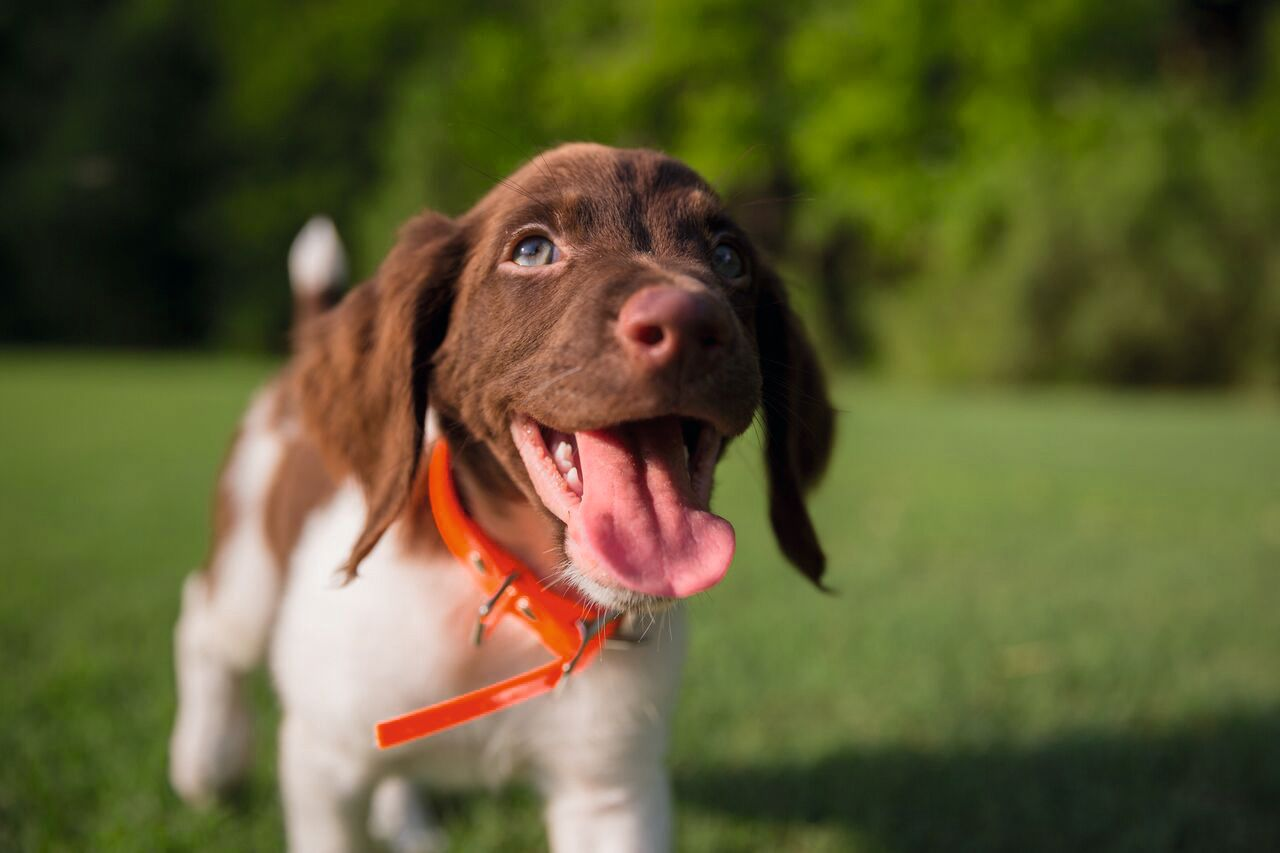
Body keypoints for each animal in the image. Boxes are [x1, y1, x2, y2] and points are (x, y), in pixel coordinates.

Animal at [167, 142, 829, 845]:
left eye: (729, 258)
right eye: (532, 250)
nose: (689, 321)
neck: (515, 596)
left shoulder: (610, 792)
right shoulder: (324, 764)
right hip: (249, 573)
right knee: (204, 620)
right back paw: (206, 758)